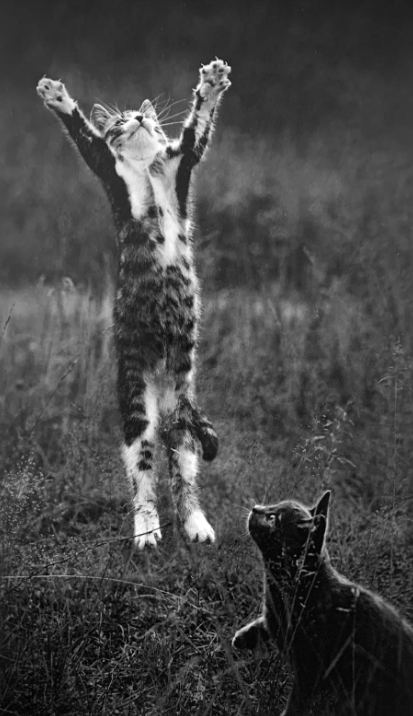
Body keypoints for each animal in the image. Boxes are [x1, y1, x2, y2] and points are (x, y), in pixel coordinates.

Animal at [36, 60, 230, 548]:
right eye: (120, 120)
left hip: (182, 411)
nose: (140, 117)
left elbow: (199, 125)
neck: (145, 167)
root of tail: (161, 389)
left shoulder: (183, 162)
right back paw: (146, 530)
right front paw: (56, 96)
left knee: (183, 472)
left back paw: (196, 523)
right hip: (135, 402)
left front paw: (211, 84)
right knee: (142, 473)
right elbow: (84, 134)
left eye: (148, 118)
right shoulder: (106, 166)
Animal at [232, 492, 412, 716]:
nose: (256, 508)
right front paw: (241, 637)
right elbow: (265, 623)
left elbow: (297, 702)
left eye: (273, 518)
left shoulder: (310, 668)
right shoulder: (273, 616)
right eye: (271, 507)